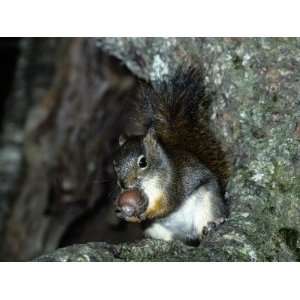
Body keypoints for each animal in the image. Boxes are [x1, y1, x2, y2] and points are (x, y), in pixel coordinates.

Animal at [112, 67, 227, 245]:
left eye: (143, 162)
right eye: (115, 164)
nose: (124, 185)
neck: (148, 185)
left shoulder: (172, 184)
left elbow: (166, 205)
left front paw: (146, 213)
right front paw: (123, 214)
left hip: (208, 204)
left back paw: (211, 226)